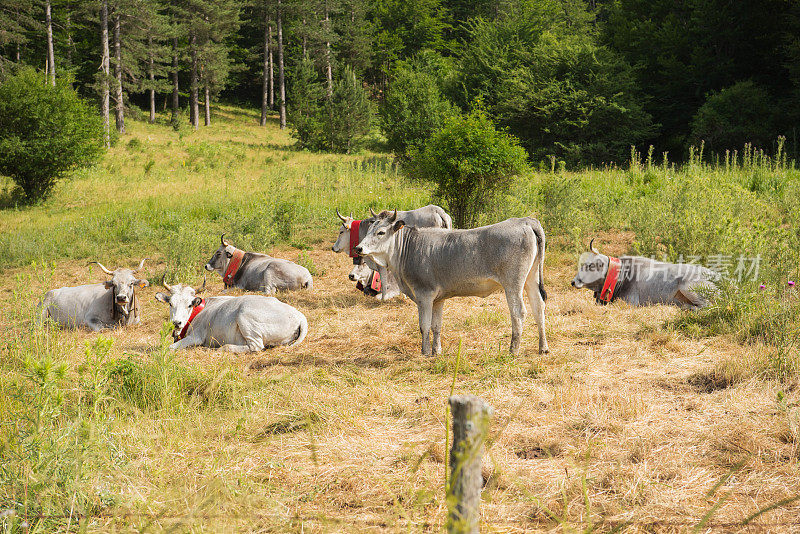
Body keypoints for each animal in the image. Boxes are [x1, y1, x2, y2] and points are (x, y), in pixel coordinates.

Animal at [155, 278, 308, 354]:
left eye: (189, 305)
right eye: (170, 304)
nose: (177, 322)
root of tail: (299, 315)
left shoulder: (196, 336)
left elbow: (169, 348)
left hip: (244, 314)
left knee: (256, 346)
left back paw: (224, 348)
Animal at [356, 211, 552, 358]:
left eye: (381, 232)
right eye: (369, 229)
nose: (358, 248)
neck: (409, 249)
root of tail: (525, 221)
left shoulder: (424, 294)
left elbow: (424, 325)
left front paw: (425, 352)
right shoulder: (438, 299)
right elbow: (436, 325)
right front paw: (436, 351)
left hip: (513, 283)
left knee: (519, 312)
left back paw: (513, 349)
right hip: (531, 278)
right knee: (538, 307)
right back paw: (543, 347)